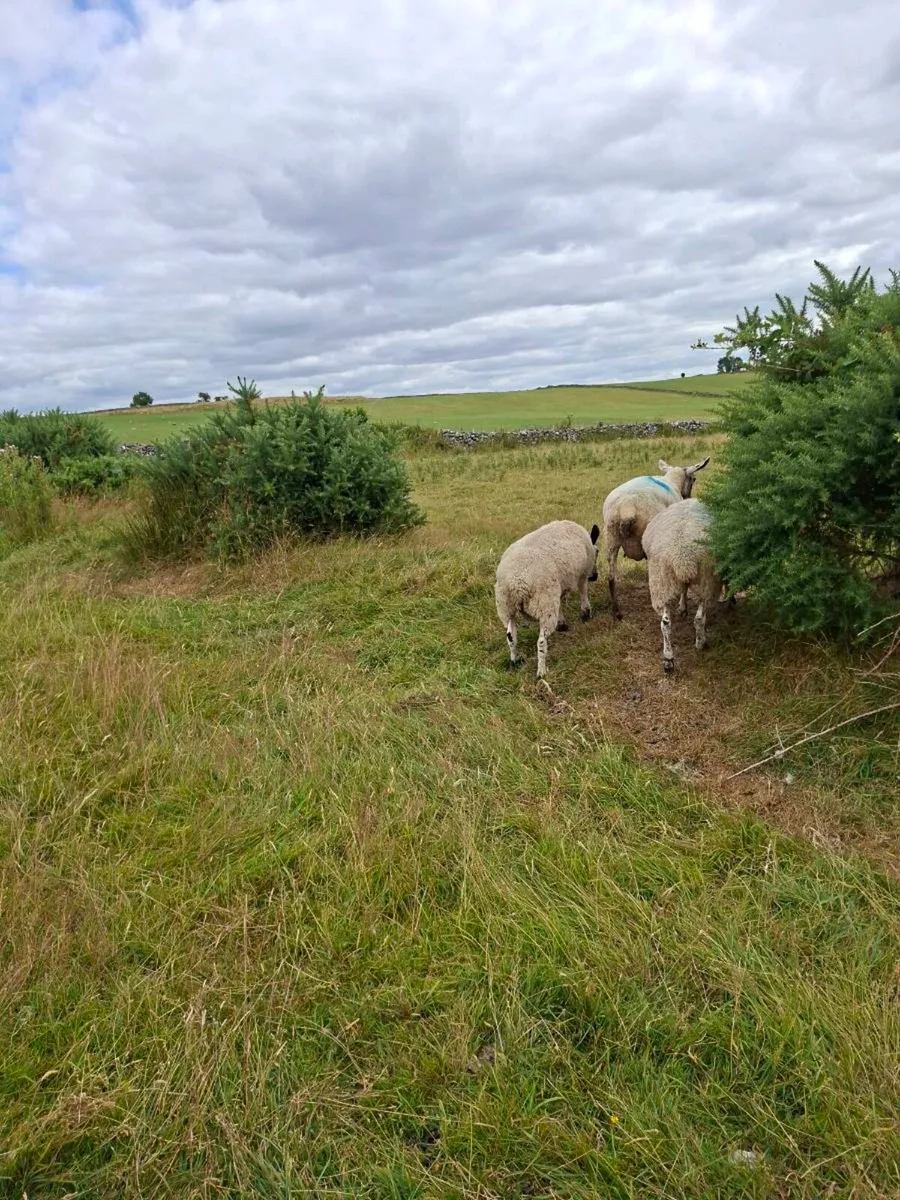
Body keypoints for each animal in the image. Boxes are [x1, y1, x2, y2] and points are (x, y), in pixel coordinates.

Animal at [495, 520, 600, 678]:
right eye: (598, 552)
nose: (594, 576)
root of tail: (516, 583)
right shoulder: (582, 573)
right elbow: (583, 592)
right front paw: (586, 614)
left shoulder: (559, 585)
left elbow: (561, 602)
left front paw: (562, 623)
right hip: (544, 603)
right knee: (541, 642)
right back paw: (541, 671)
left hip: (506, 606)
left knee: (511, 637)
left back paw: (514, 661)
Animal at [602, 455, 710, 619]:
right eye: (694, 479)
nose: (688, 496)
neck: (673, 481)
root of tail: (627, 509)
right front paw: (682, 607)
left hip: (611, 536)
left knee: (611, 578)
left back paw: (617, 612)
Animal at [641, 498, 721, 674]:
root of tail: (682, 557)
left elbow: (683, 590)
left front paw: (682, 607)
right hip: (706, 580)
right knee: (699, 618)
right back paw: (700, 643)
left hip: (662, 582)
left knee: (665, 623)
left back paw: (668, 659)